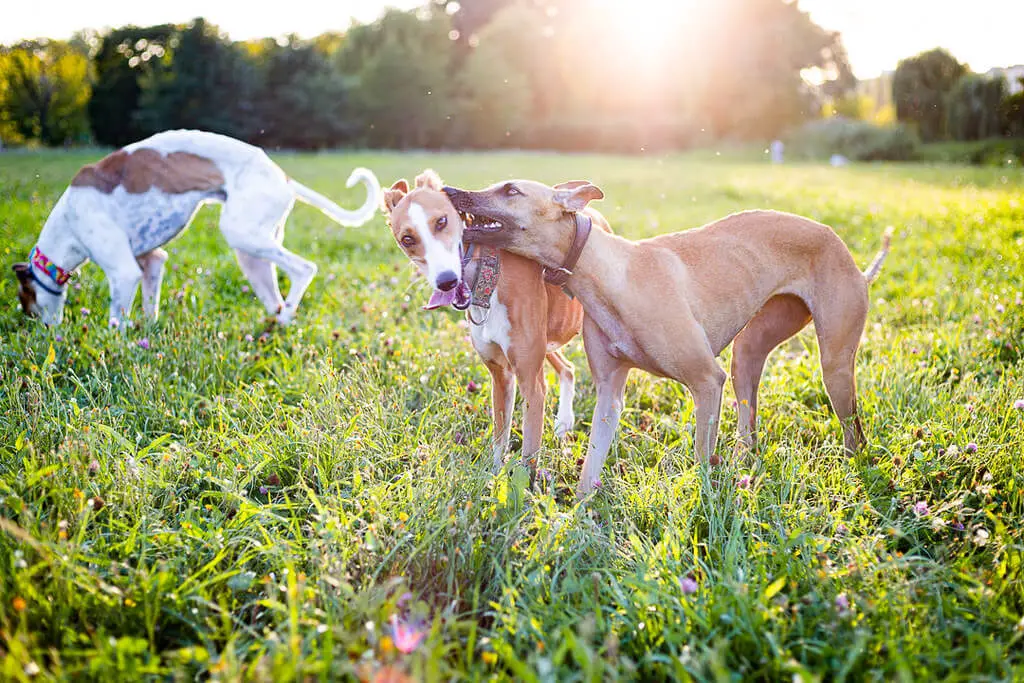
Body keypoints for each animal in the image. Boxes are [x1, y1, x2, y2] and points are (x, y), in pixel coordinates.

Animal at [12, 130, 380, 327]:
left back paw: (287, 313)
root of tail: (285, 177)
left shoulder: (123, 272)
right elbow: (150, 306)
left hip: (241, 233)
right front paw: (147, 335)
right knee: (274, 297)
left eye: (25, 303)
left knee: (304, 269)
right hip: (252, 254)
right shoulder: (151, 261)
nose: (44, 333)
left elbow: (117, 320)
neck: (68, 223)